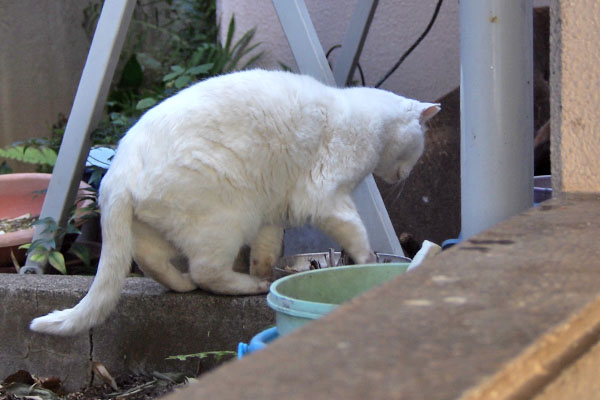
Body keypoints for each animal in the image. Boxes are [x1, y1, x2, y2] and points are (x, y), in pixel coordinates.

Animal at [29, 69, 440, 334]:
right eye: (419, 147)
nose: (405, 174)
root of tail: (116, 172)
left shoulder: (274, 214)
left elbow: (267, 248)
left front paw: (265, 269)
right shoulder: (325, 196)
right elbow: (357, 233)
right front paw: (367, 261)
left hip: (164, 227)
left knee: (152, 262)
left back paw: (191, 284)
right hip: (225, 221)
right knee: (206, 273)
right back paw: (250, 286)